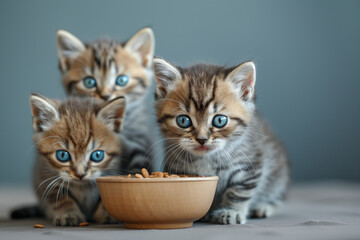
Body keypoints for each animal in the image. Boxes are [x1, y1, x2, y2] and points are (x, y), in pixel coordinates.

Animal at [29, 94, 126, 227]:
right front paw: (67, 214)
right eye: (62, 155)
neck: (83, 188)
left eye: (97, 155)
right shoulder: (44, 176)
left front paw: (107, 213)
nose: (80, 174)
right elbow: (59, 198)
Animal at [153, 58, 290, 225]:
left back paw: (264, 206)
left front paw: (231, 211)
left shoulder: (249, 165)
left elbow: (239, 191)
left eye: (219, 120)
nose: (202, 139)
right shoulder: (178, 168)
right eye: (183, 120)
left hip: (279, 176)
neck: (208, 158)